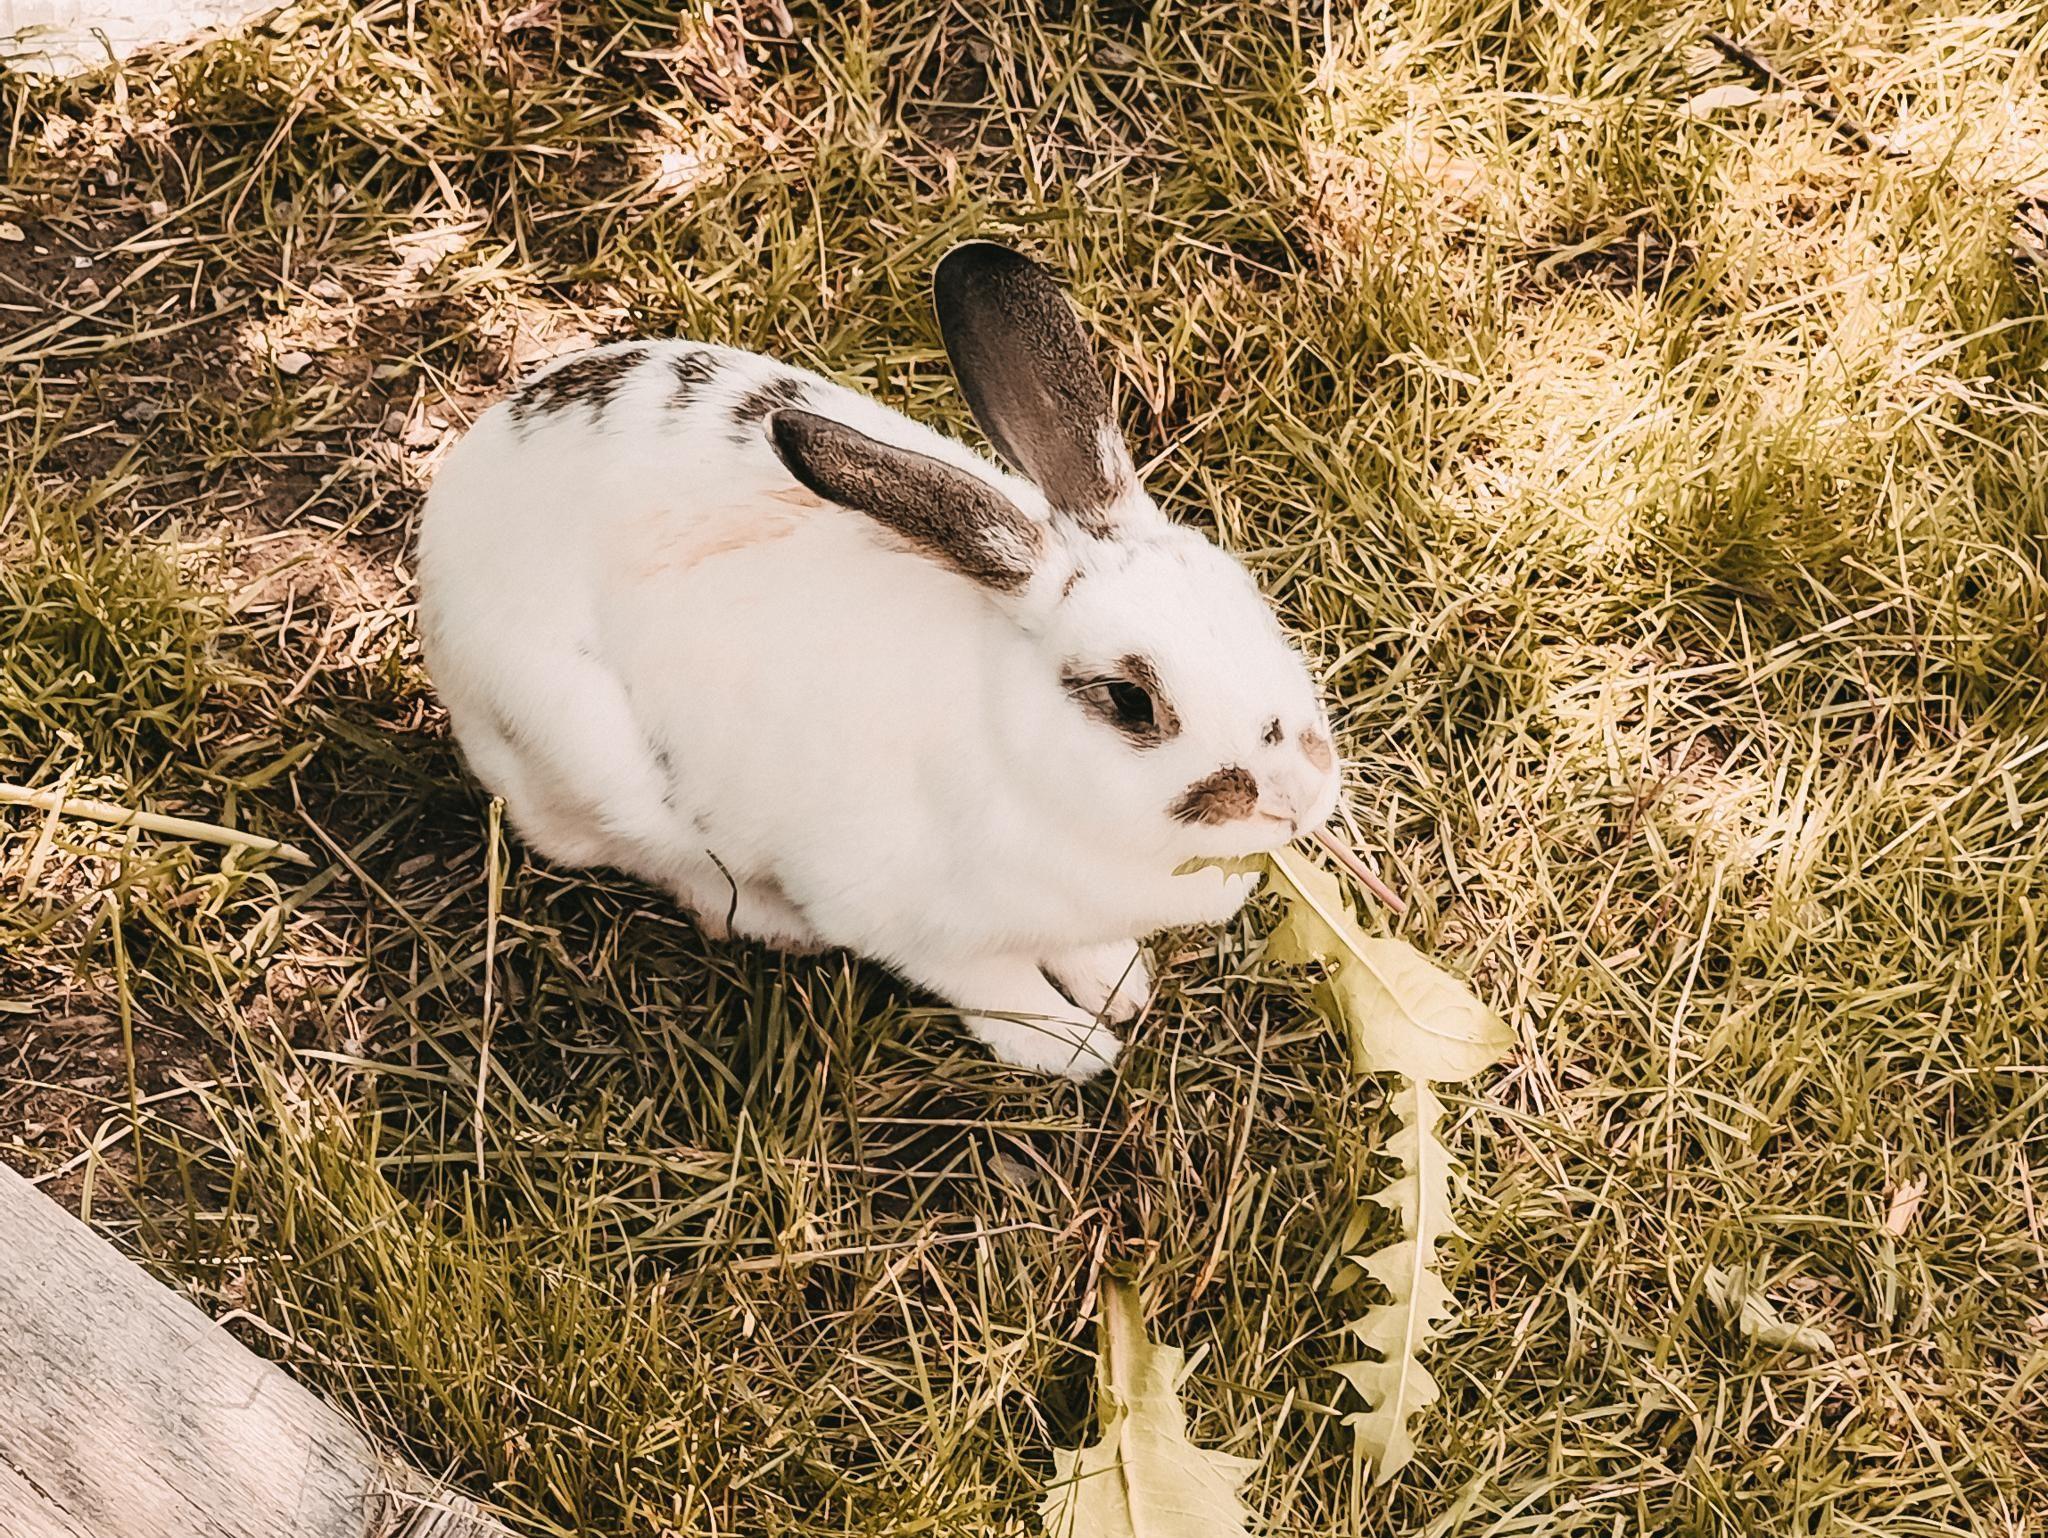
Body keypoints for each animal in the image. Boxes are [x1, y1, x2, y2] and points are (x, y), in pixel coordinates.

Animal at [416, 242, 1340, 1078]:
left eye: (1251, 602)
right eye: (1129, 699)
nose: (1297, 797)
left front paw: (1119, 985)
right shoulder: (911, 927)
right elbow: (998, 989)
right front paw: (1074, 1048)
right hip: (592, 762)